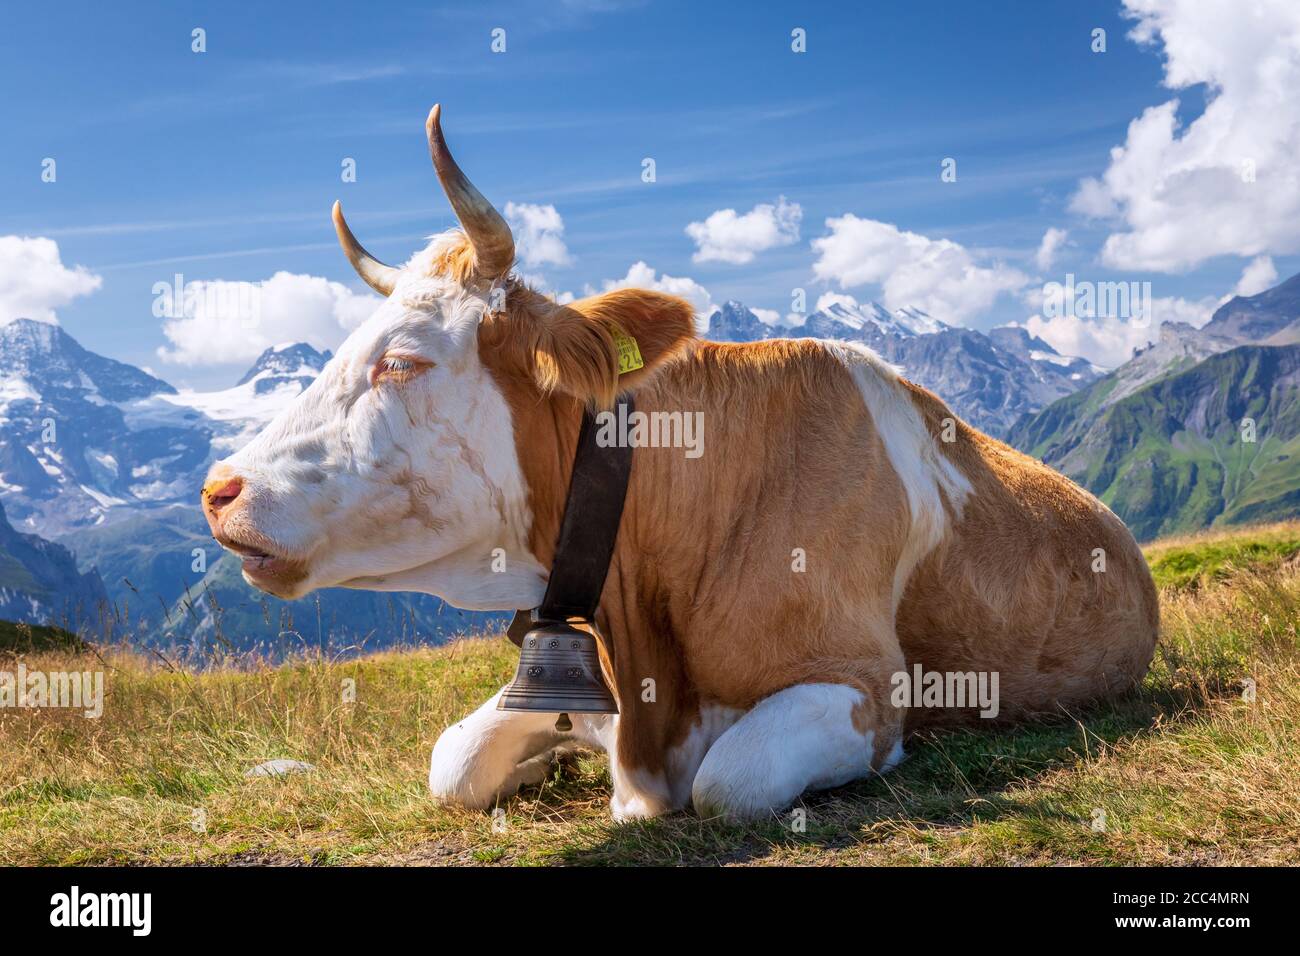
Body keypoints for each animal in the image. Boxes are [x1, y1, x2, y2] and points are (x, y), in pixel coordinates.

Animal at [201, 106, 1159, 821]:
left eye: (402, 361)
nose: (218, 490)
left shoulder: (864, 684)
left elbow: (730, 782)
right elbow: (454, 760)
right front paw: (543, 764)